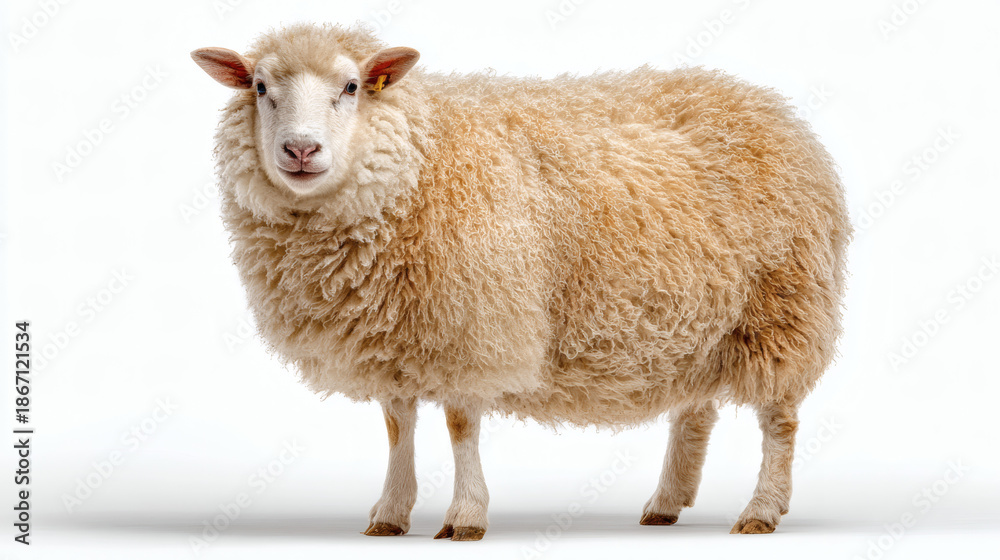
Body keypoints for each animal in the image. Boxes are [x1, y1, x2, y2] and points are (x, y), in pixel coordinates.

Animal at [191, 22, 851, 541]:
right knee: (696, 410)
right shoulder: (395, 334)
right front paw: (390, 513)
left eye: (350, 87)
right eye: (260, 89)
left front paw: (465, 516)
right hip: (703, 319)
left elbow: (460, 426)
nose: (300, 150)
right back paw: (667, 503)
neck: (420, 161)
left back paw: (761, 510)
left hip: (781, 307)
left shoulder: (471, 324)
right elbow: (397, 425)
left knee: (779, 420)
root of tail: (769, 106)